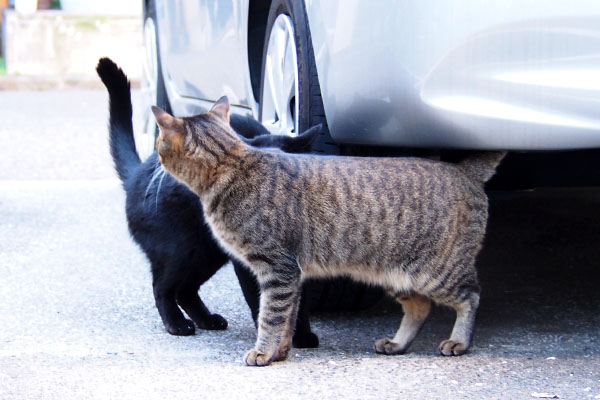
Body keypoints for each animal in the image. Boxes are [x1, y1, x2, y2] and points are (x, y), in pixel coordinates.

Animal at [96, 57, 318, 348]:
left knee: (186, 289)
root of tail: (137, 173)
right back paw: (177, 324)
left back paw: (207, 319)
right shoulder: (248, 263)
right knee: (163, 287)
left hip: (207, 254)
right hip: (180, 249)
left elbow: (298, 298)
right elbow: (260, 299)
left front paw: (301, 333)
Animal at [152, 95, 504, 368]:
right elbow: (288, 319)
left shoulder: (278, 270)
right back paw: (397, 343)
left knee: (471, 296)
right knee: (421, 307)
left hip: (436, 272)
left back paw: (459, 341)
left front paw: (263, 352)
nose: (154, 155)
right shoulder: (291, 275)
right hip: (396, 274)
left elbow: (271, 317)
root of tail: (463, 170)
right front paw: (280, 352)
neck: (232, 163)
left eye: (158, 142)